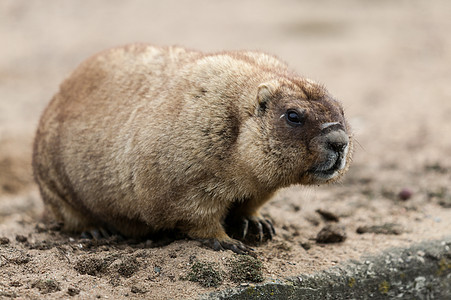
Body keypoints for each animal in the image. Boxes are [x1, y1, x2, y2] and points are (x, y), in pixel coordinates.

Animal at [33, 44, 354, 253]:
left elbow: (252, 201)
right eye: (293, 116)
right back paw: (93, 229)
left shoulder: (262, 184)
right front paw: (226, 241)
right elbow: (192, 207)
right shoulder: (190, 163)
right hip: (53, 182)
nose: (340, 142)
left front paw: (257, 222)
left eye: (341, 108)